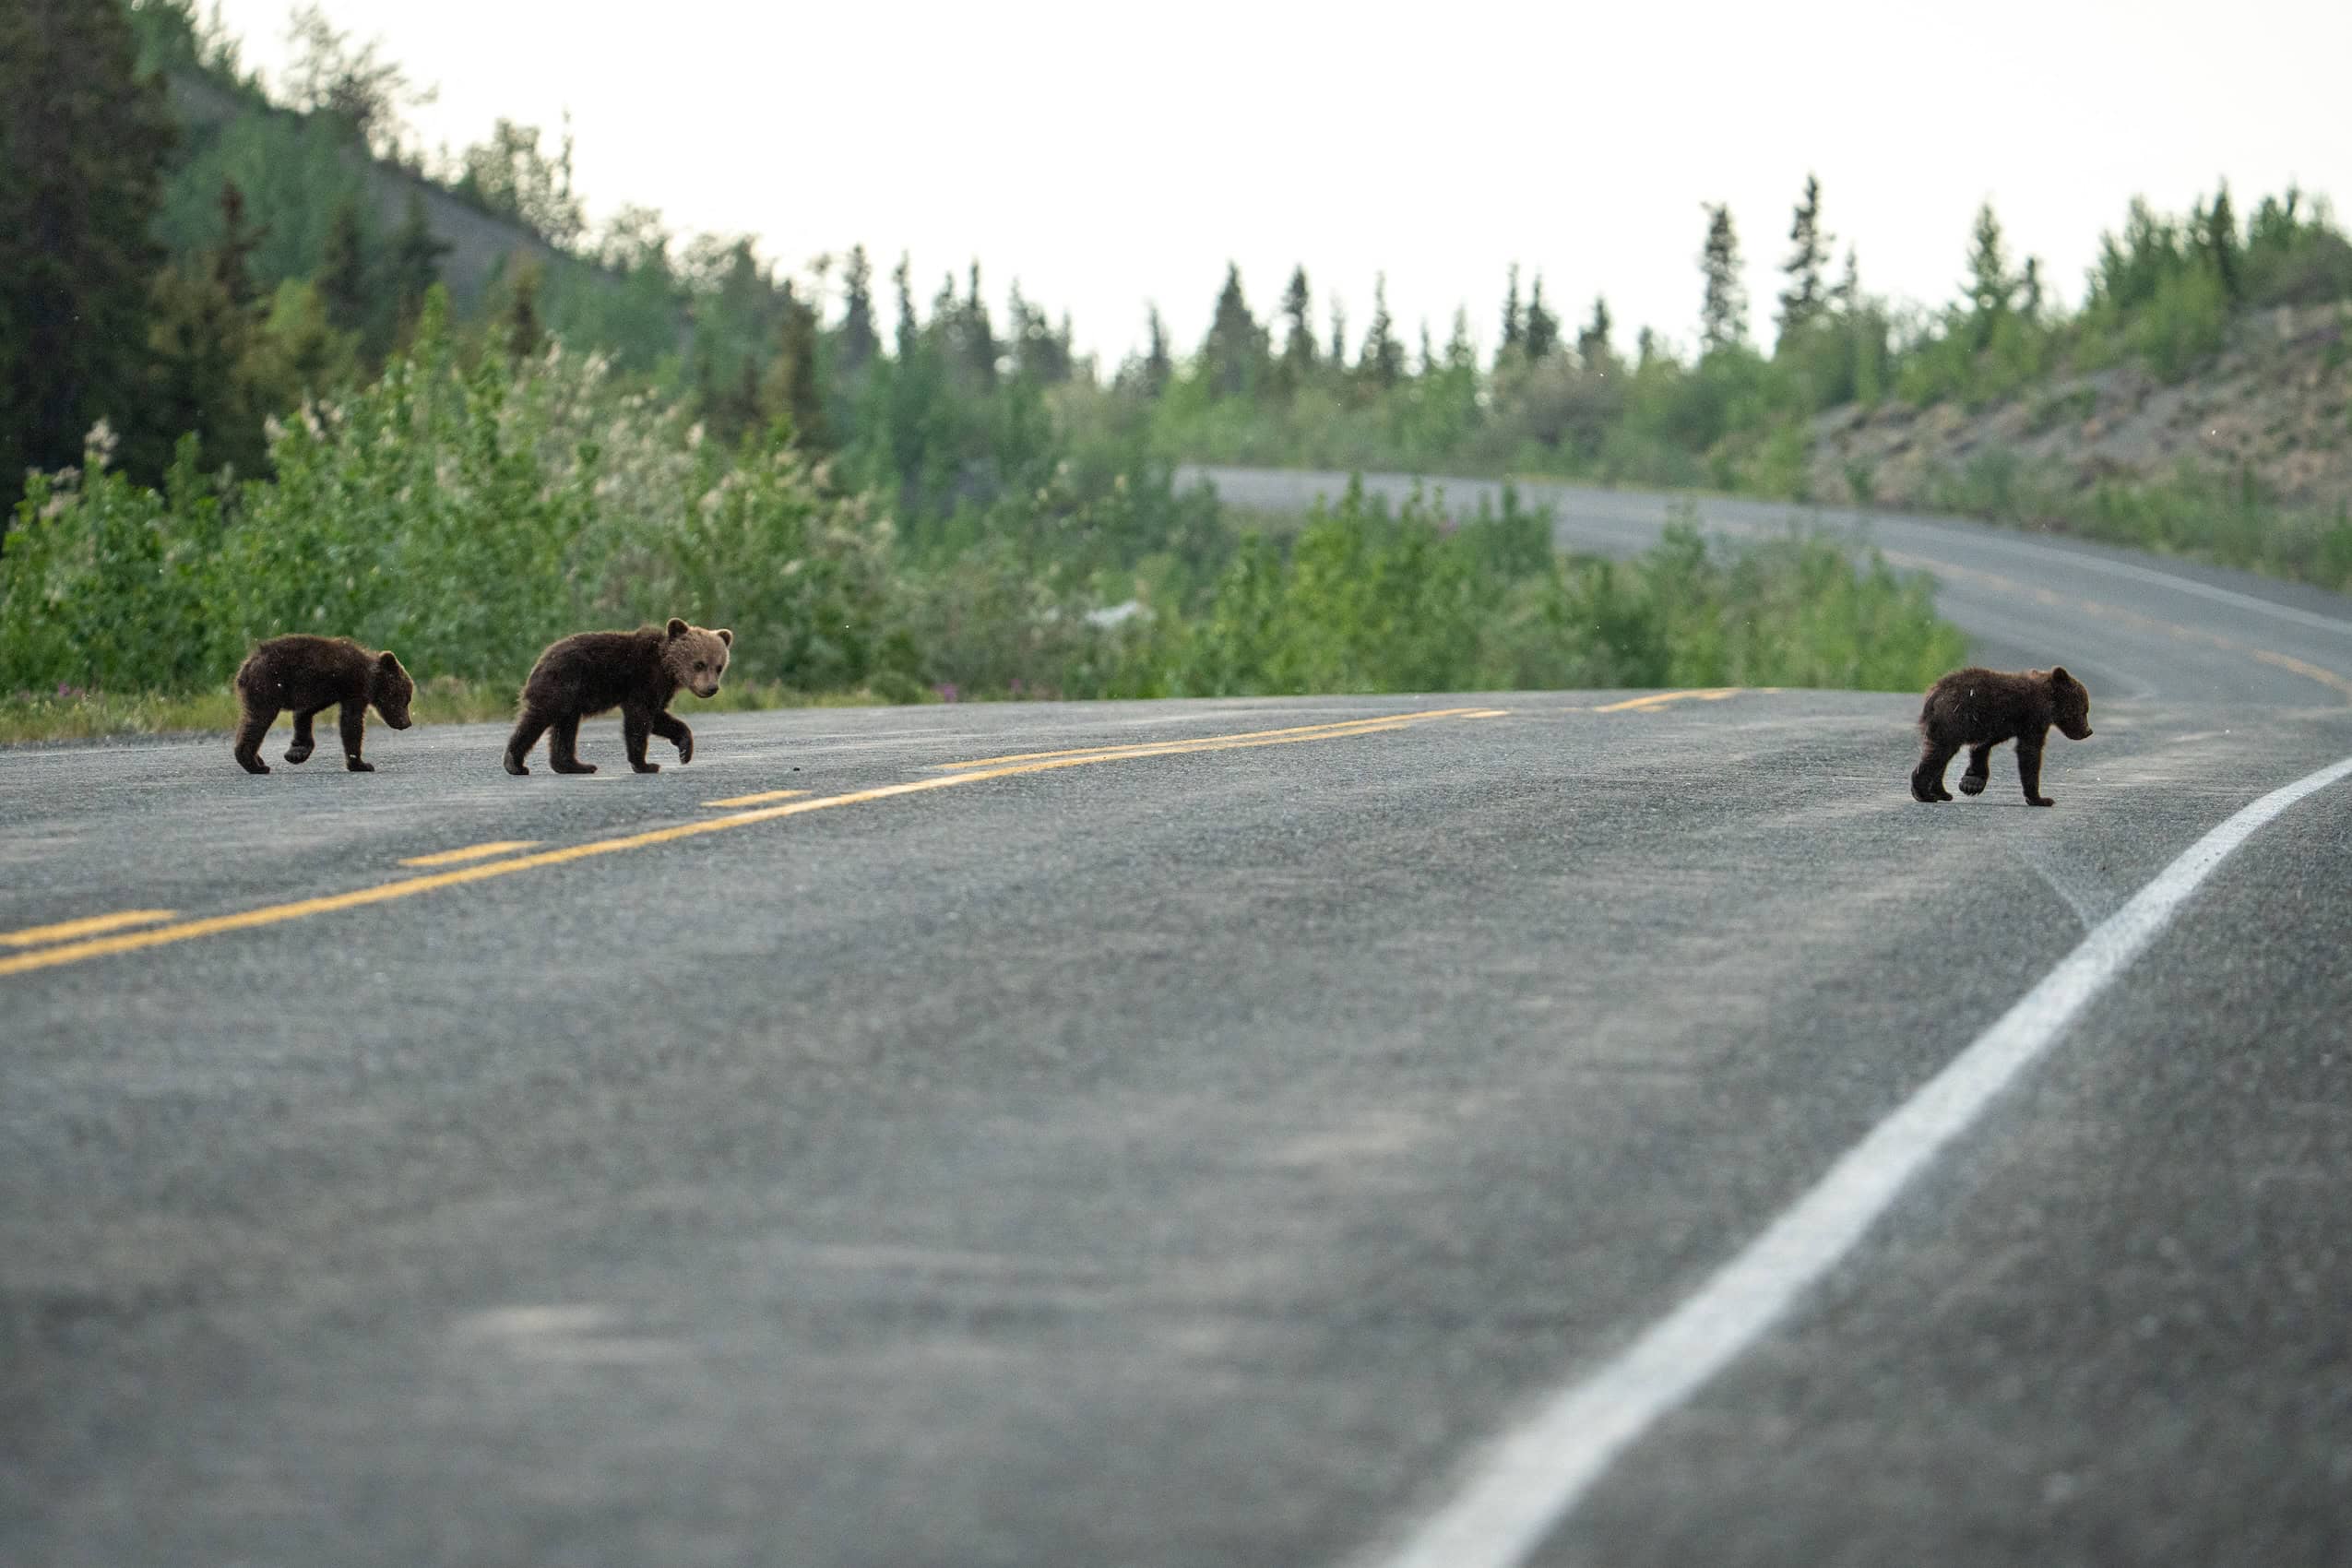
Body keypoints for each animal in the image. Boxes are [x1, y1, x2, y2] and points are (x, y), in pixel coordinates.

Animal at [232, 635, 414, 775]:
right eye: (404, 699)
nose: (407, 723)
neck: (371, 677)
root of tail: (246, 666)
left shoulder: (326, 692)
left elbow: (304, 713)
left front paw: (297, 751)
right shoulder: (354, 689)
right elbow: (352, 722)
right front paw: (361, 764)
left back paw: (258, 761)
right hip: (267, 687)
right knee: (258, 722)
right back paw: (254, 764)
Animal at [503, 617, 733, 776]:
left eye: (719, 667)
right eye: (699, 664)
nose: (711, 688)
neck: (666, 667)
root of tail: (540, 661)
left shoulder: (658, 689)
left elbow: (659, 718)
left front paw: (685, 750)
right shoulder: (643, 680)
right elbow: (640, 719)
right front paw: (645, 764)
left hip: (571, 698)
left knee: (565, 727)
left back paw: (575, 765)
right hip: (562, 685)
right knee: (538, 718)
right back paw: (515, 763)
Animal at [1910, 664, 2093, 807]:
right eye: (2083, 709)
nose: (2088, 731)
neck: (2049, 701)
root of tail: (1934, 692)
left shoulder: (2002, 724)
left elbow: (1983, 745)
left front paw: (1972, 781)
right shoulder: (2032, 718)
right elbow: (2029, 752)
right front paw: (2040, 799)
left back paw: (1941, 792)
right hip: (1953, 721)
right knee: (1939, 753)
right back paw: (1923, 793)